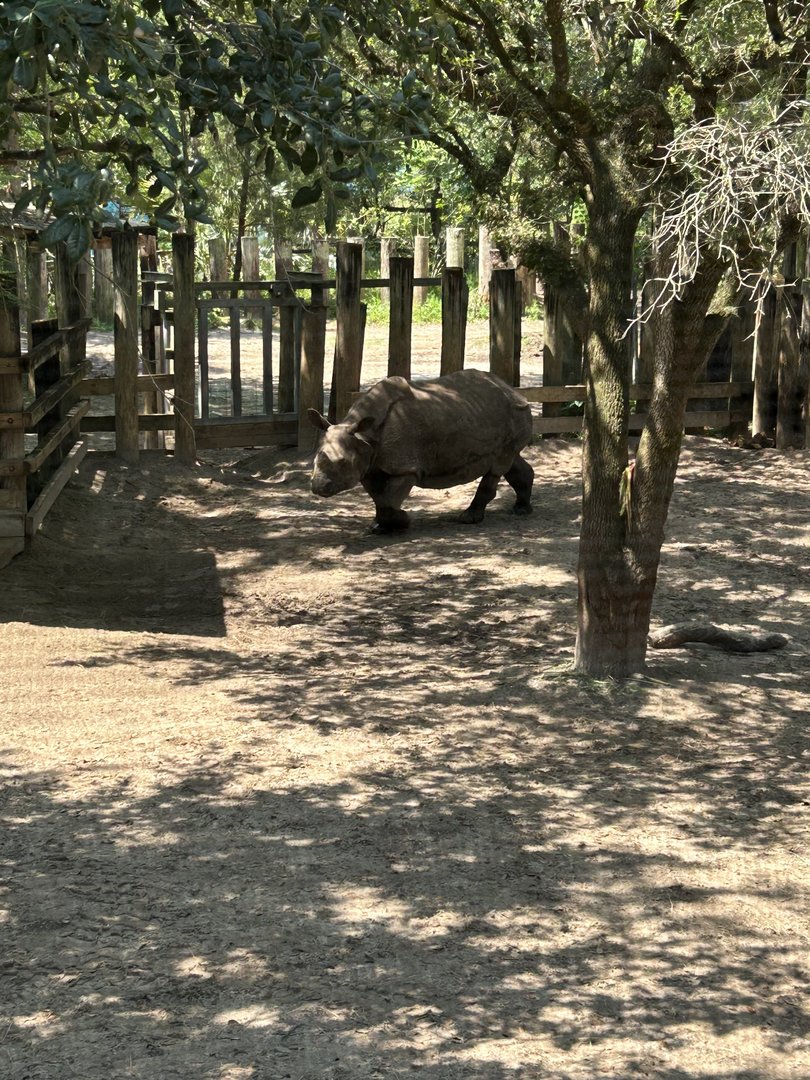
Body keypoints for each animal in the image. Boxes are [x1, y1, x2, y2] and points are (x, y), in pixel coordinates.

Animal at [308, 368, 534, 531]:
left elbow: (388, 502)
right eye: (315, 461)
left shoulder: (405, 467)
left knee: (498, 466)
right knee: (511, 461)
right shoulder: (369, 466)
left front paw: (401, 522)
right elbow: (380, 498)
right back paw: (521, 510)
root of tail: (513, 390)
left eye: (342, 463)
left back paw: (469, 519)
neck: (363, 436)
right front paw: (380, 526)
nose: (318, 487)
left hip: (513, 411)